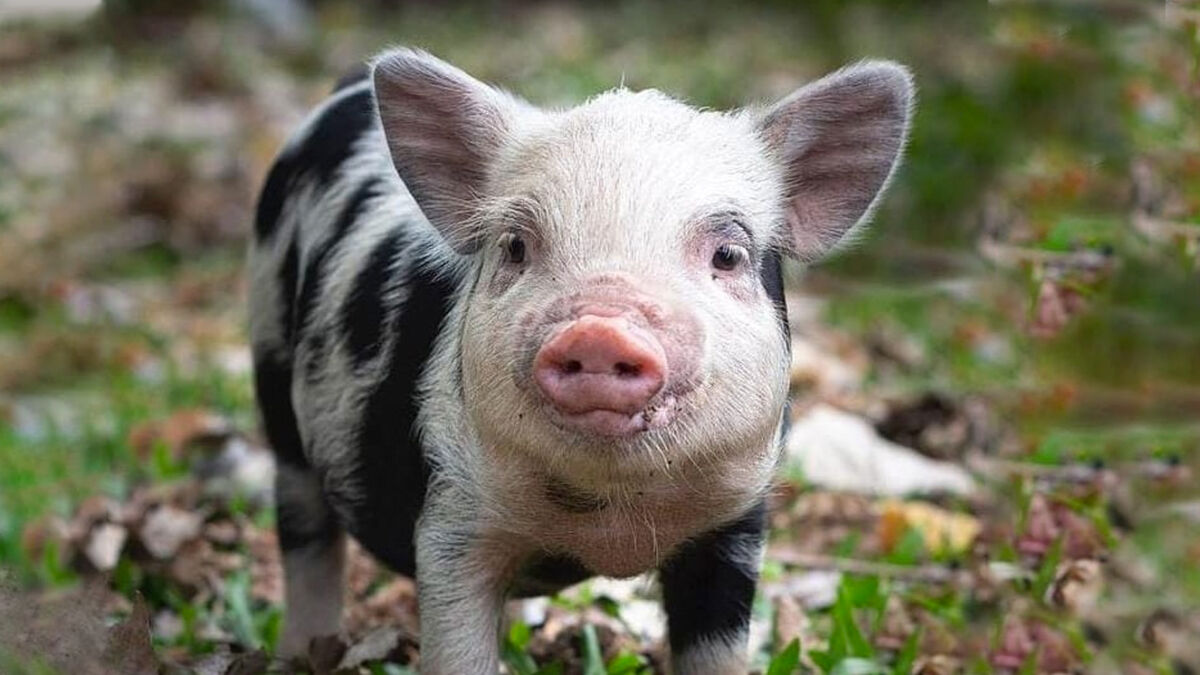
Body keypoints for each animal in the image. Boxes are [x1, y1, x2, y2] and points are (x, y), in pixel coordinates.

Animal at [248, 48, 913, 674]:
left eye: (727, 254)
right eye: (516, 246)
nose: (600, 329)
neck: (610, 518)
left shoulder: (736, 520)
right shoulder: (454, 518)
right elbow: (458, 644)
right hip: (272, 362)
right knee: (305, 533)